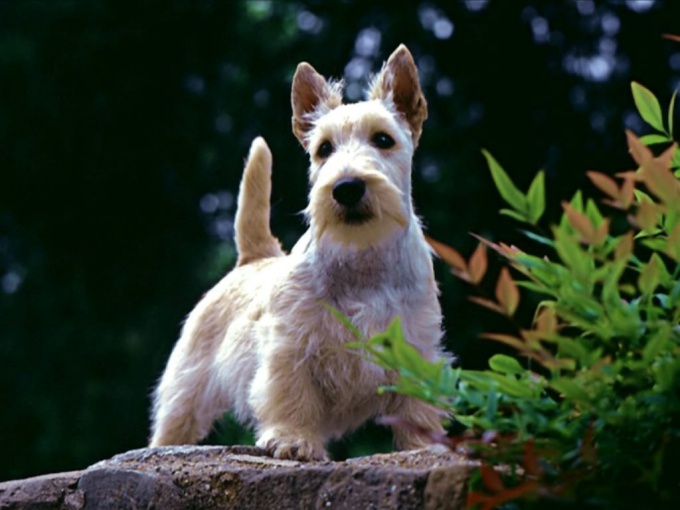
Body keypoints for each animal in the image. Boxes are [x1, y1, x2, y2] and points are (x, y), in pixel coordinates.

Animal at [148, 44, 446, 462]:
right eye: (323, 149)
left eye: (383, 139)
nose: (347, 187)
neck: (363, 257)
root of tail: (254, 256)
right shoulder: (289, 346)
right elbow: (290, 395)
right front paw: (293, 440)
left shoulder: (415, 347)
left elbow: (416, 407)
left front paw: (422, 446)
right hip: (186, 388)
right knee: (172, 424)